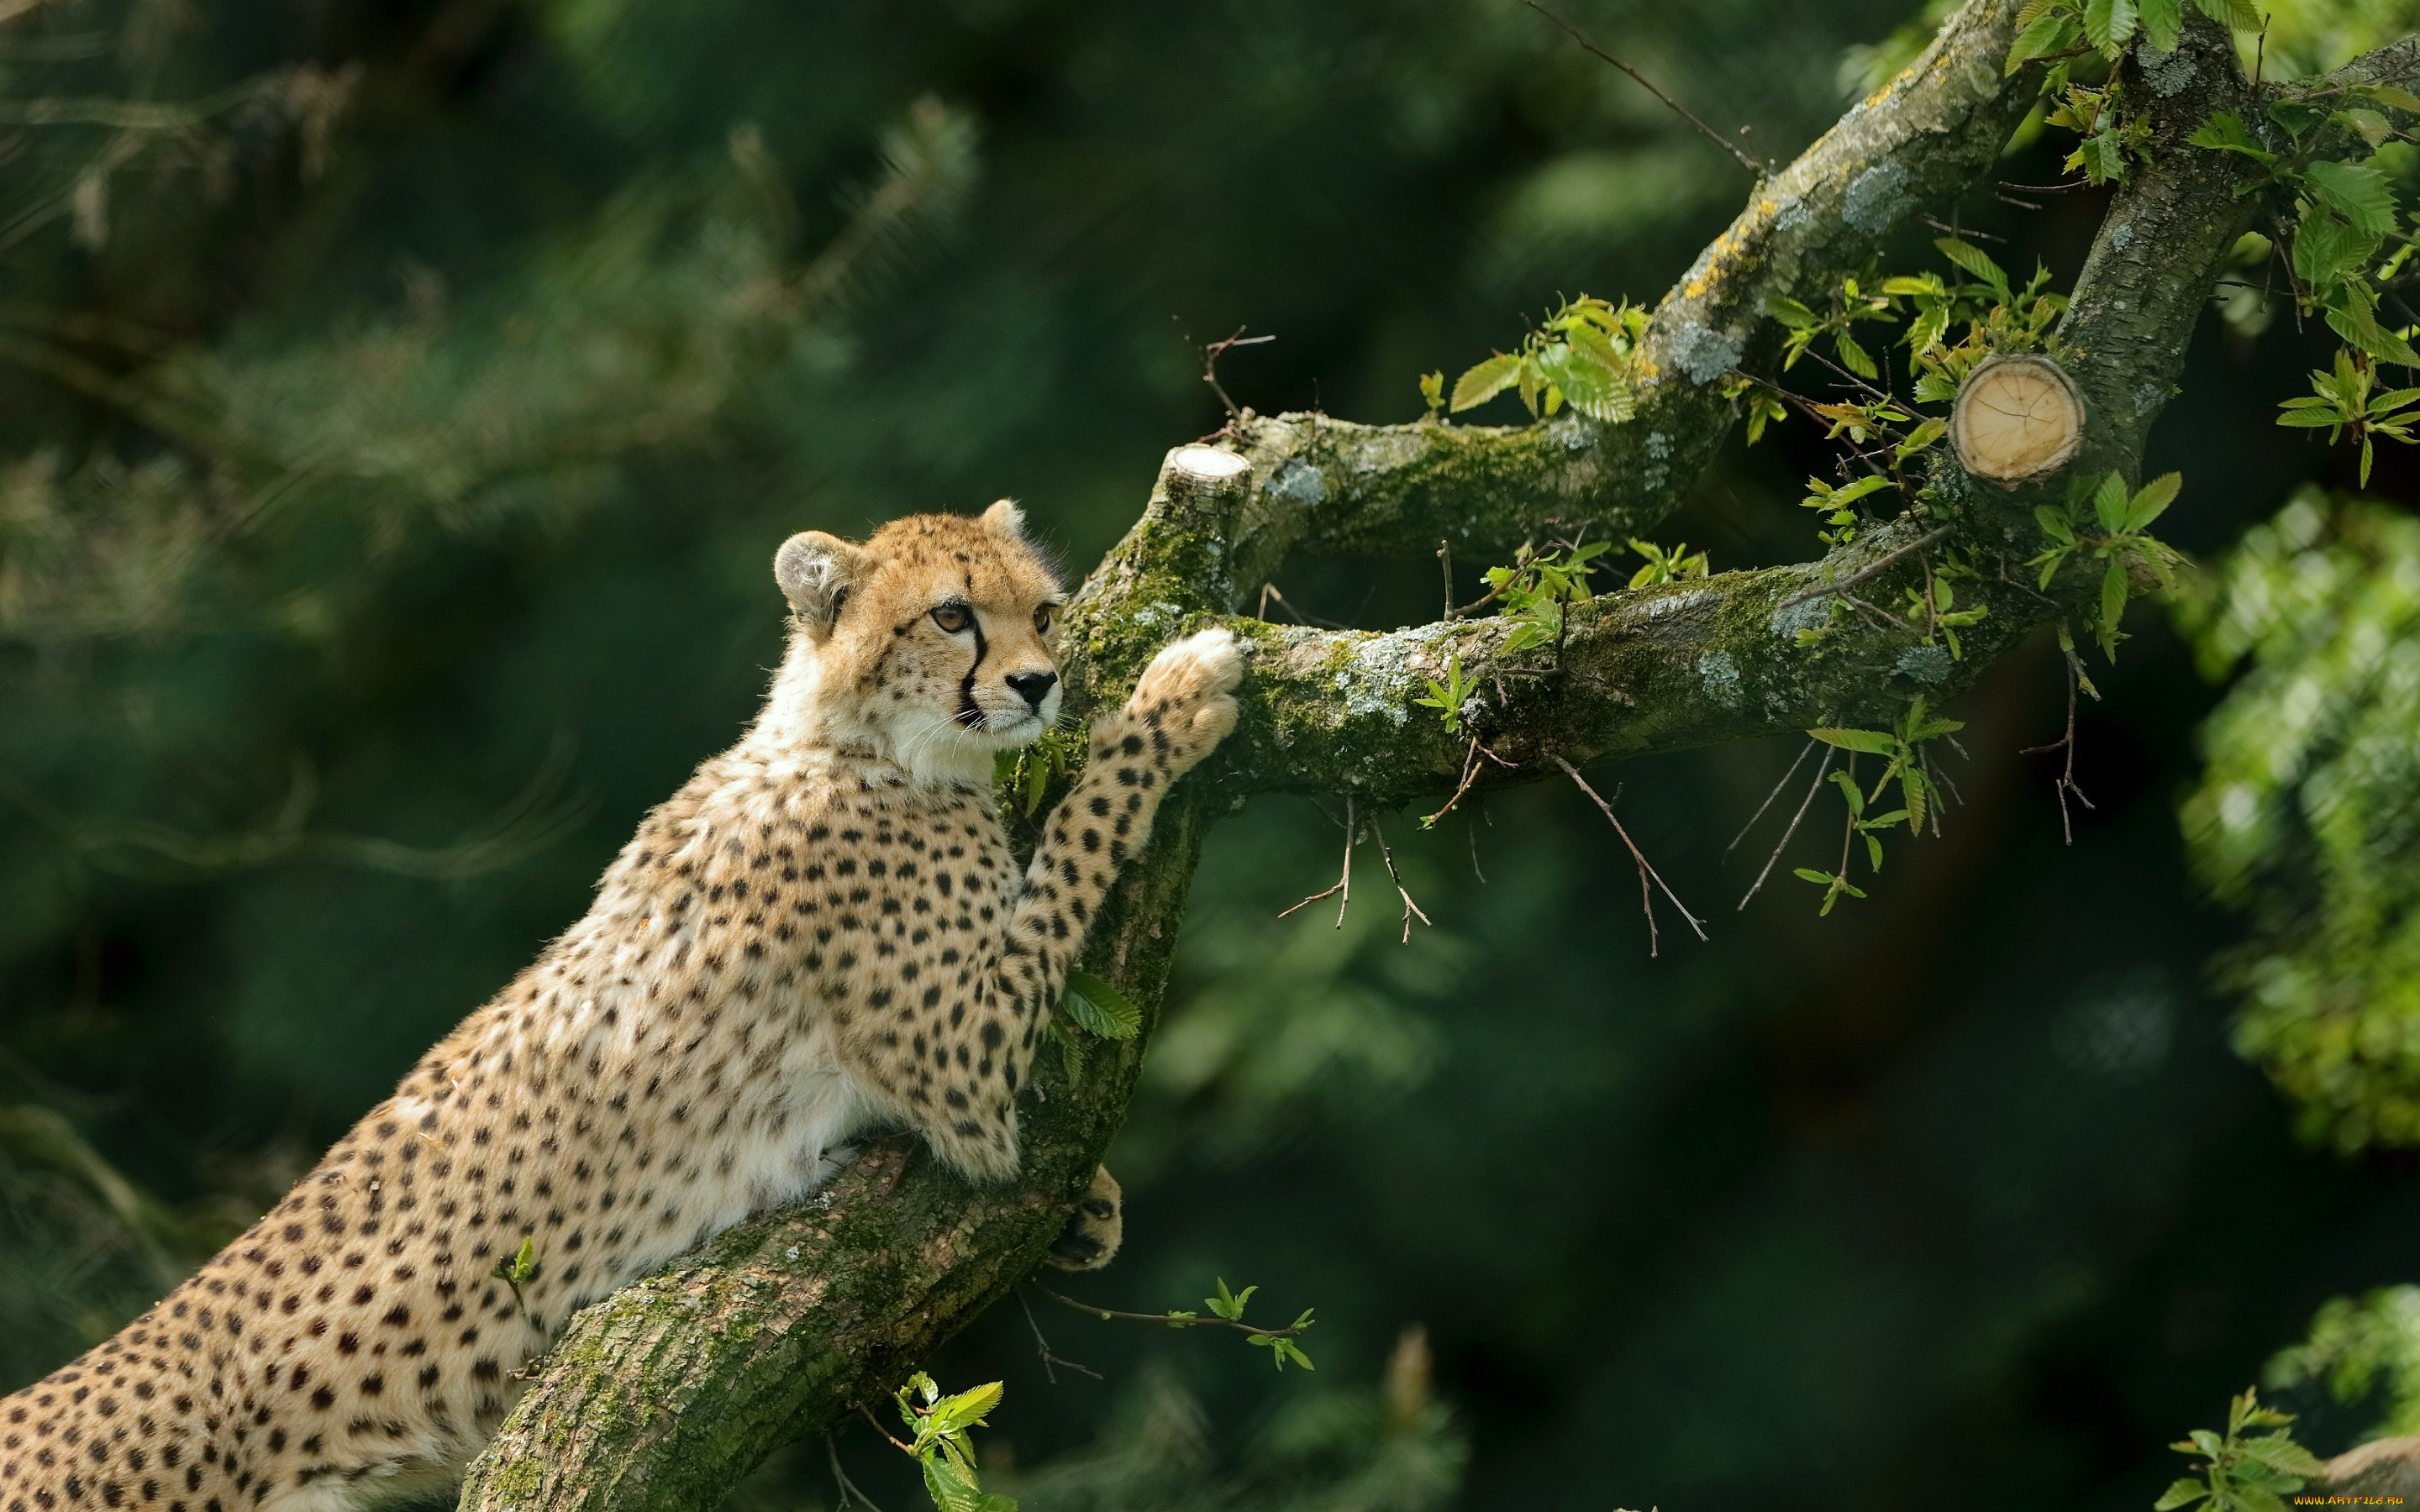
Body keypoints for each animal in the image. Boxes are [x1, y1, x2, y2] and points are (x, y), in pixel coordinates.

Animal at [0, 501, 1239, 1499]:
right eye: (951, 616)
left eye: (1045, 610)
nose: (1038, 682)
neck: (859, 744)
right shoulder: (965, 1070)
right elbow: (1078, 840)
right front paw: (1174, 701)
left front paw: (1092, 1208)